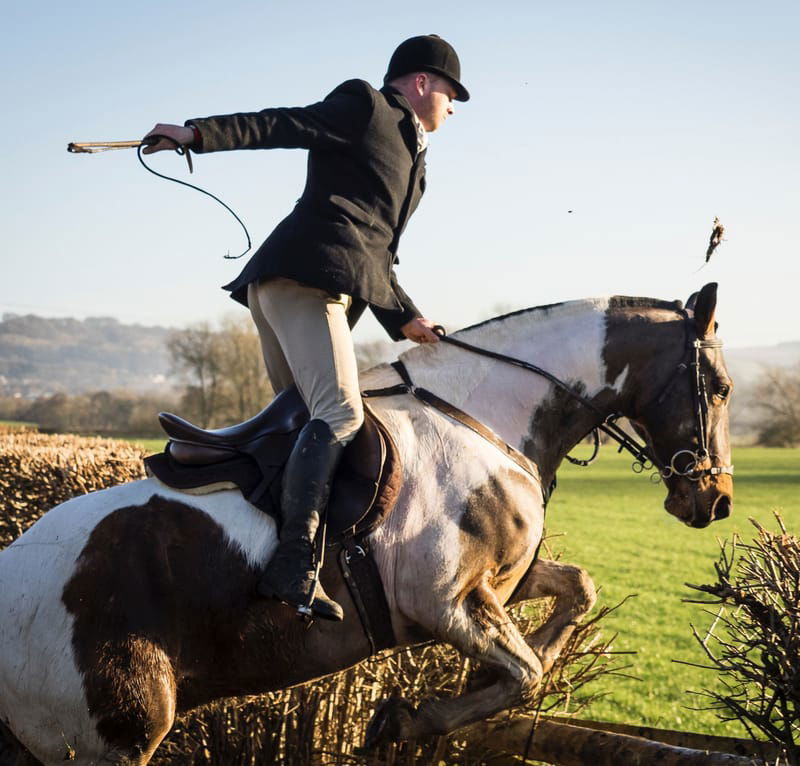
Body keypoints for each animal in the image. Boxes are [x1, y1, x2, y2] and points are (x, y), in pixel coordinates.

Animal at [0, 284, 732, 766]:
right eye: (721, 387)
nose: (717, 500)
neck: (481, 413)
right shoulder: (444, 602)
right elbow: (525, 672)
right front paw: (406, 719)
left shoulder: (499, 584)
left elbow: (576, 593)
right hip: (109, 738)